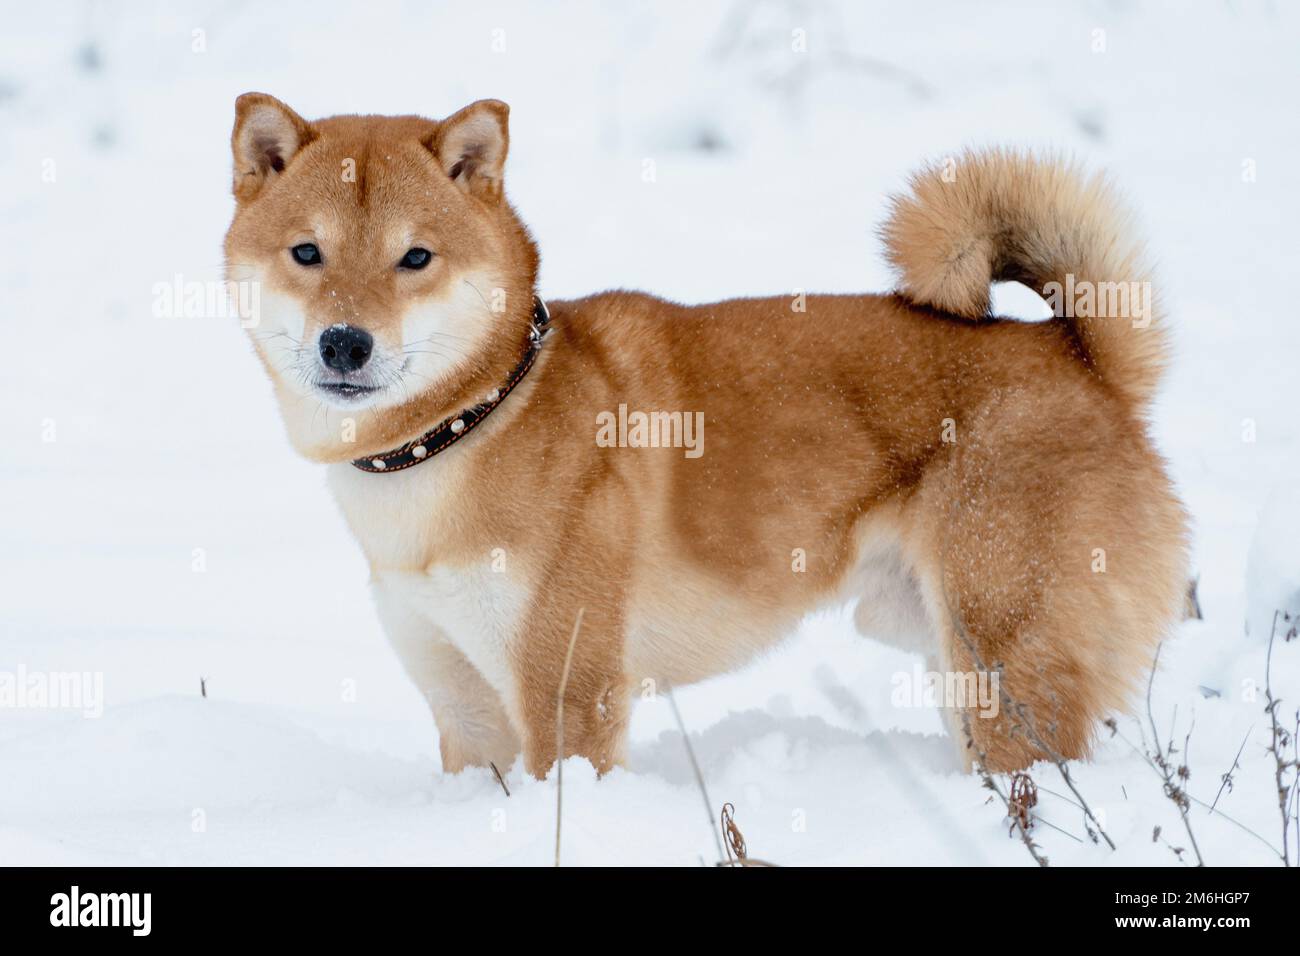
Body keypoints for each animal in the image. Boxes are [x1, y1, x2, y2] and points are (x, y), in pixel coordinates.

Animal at [220, 91, 1190, 780]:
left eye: (415, 257)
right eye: (306, 253)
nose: (345, 344)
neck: (472, 421)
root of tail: (1080, 356)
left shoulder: (568, 693)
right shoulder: (467, 708)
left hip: (1001, 662)